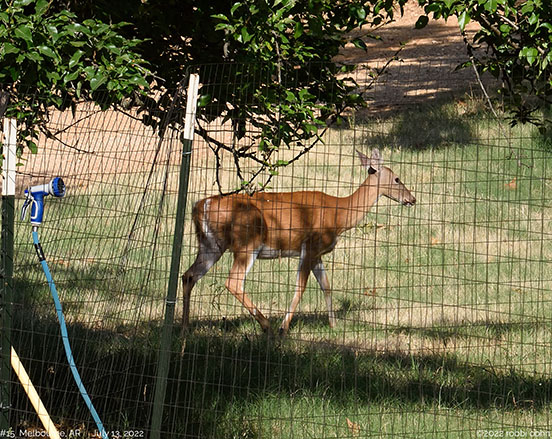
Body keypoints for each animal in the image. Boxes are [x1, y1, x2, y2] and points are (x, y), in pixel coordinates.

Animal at [181, 148, 416, 336]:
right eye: (397, 179)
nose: (412, 199)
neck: (339, 215)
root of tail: (201, 205)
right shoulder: (310, 245)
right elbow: (301, 287)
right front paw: (284, 327)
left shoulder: (318, 253)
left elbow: (326, 285)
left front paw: (333, 325)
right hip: (247, 243)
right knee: (233, 282)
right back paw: (267, 325)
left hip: (211, 245)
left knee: (188, 275)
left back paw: (185, 327)